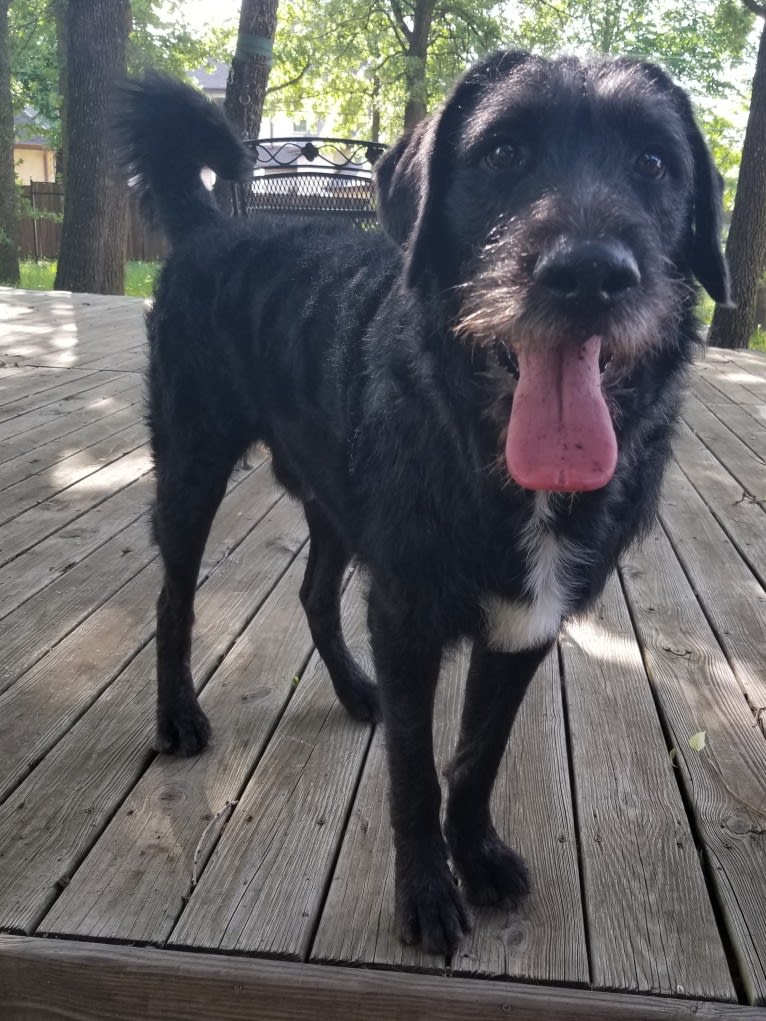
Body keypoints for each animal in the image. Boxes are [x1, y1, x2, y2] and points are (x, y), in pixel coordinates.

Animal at [118, 49, 731, 955]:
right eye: (504, 152)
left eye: (654, 163)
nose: (589, 272)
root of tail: (210, 228)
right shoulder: (408, 619)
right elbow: (413, 772)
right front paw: (427, 893)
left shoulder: (523, 627)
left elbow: (476, 757)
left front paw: (475, 857)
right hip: (192, 467)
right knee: (175, 600)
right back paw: (179, 717)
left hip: (335, 498)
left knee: (313, 591)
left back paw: (352, 688)